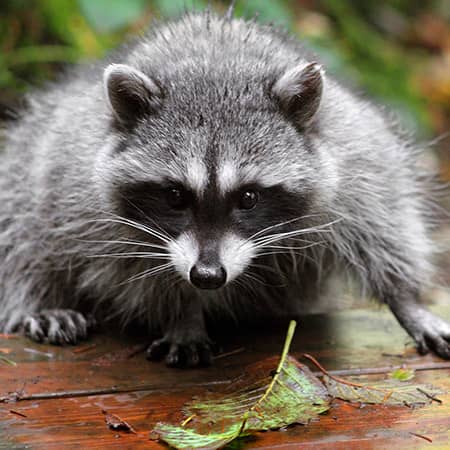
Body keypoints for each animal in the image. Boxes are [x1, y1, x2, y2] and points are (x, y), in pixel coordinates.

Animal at [0, 8, 448, 366]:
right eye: (175, 196)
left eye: (248, 197)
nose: (207, 276)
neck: (215, 67)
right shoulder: (96, 207)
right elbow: (137, 273)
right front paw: (182, 314)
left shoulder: (354, 157)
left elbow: (384, 219)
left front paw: (406, 300)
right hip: (50, 149)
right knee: (27, 218)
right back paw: (40, 297)